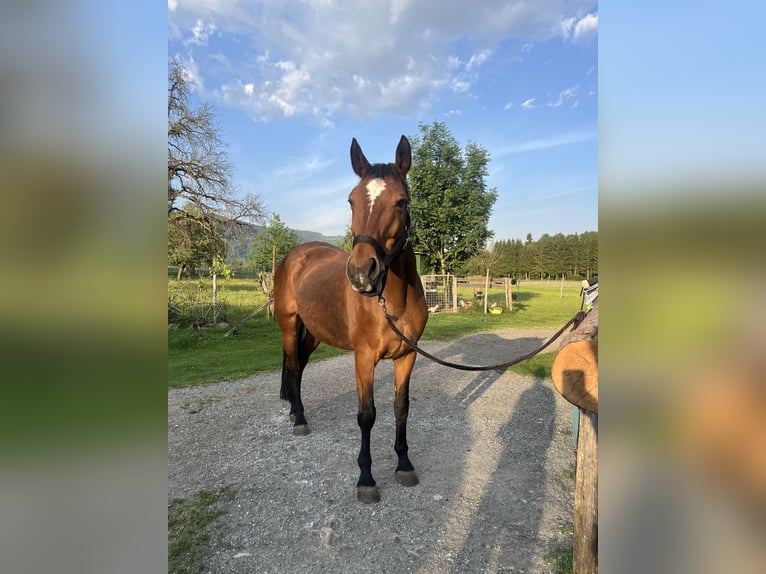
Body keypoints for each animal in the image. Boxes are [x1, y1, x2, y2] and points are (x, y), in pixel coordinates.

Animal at [273, 135, 428, 503]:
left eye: (401, 202)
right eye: (351, 201)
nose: (361, 273)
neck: (392, 302)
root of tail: (294, 256)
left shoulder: (408, 355)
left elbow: (401, 407)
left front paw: (404, 464)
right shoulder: (364, 358)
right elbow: (367, 415)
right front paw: (366, 478)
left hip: (314, 332)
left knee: (298, 366)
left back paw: (295, 410)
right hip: (289, 325)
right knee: (292, 365)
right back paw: (299, 419)